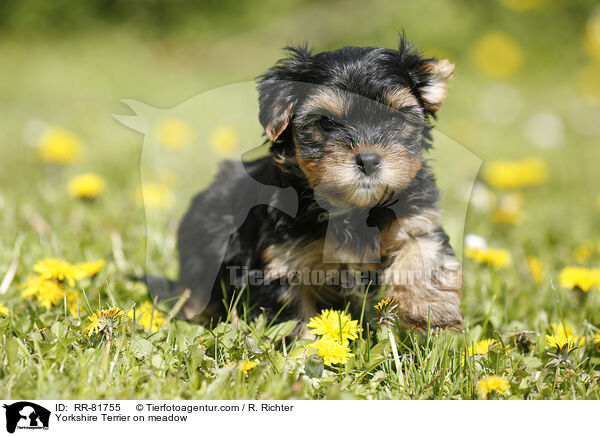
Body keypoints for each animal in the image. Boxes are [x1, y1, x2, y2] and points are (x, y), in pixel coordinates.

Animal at [157, 36, 462, 330]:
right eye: (326, 123)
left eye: (396, 119)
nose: (369, 160)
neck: (353, 209)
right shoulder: (281, 261)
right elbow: (294, 313)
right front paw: (306, 347)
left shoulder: (415, 220)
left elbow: (422, 251)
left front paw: (428, 309)